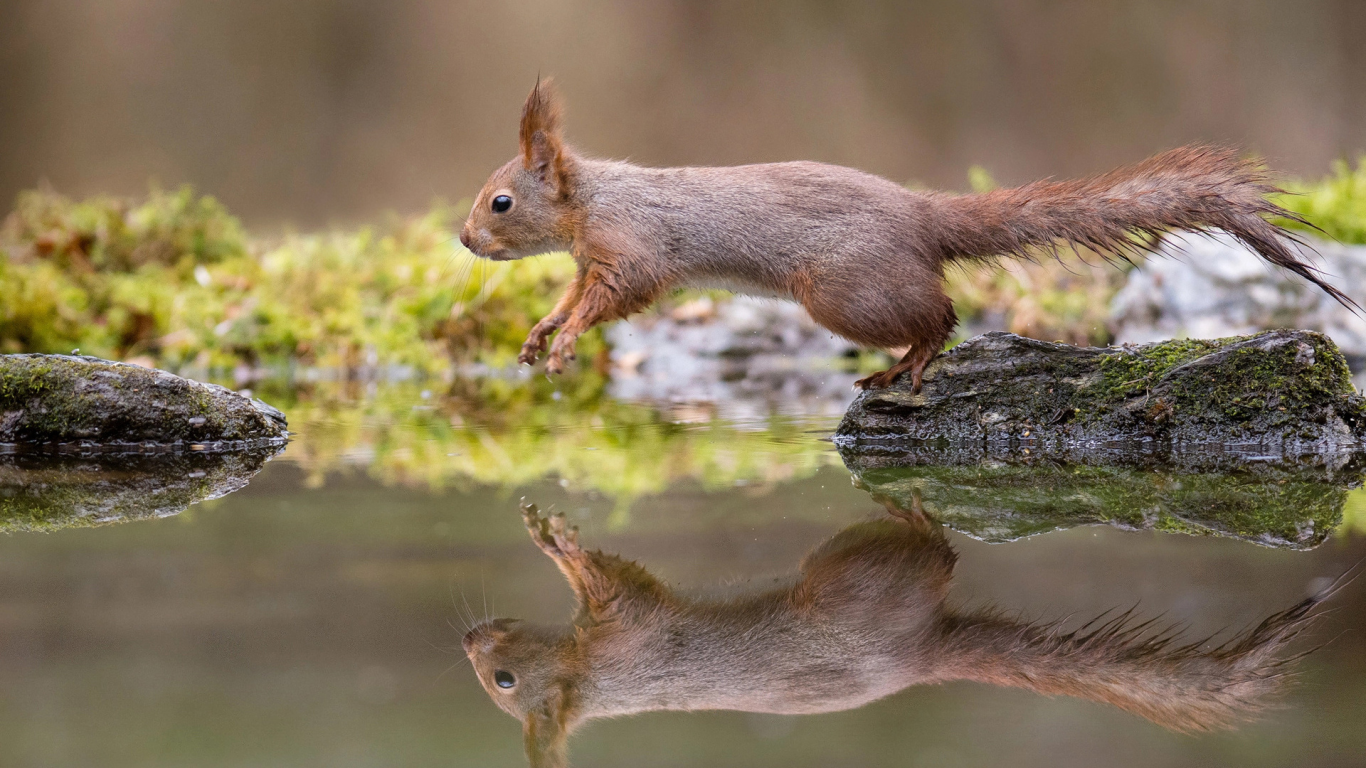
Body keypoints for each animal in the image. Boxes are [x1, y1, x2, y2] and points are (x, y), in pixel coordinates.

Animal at [458, 79, 1355, 388]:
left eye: (500, 203)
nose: (465, 241)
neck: (593, 201)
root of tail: (920, 216)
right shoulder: (592, 259)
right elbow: (573, 294)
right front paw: (541, 333)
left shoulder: (636, 249)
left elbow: (616, 296)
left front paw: (566, 344)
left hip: (844, 293)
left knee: (942, 317)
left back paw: (910, 363)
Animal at [464, 500, 1338, 759]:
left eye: (503, 683)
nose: (467, 641)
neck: (597, 677)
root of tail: (922, 654)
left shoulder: (633, 631)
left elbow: (609, 580)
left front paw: (555, 543)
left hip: (850, 587)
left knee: (933, 553)